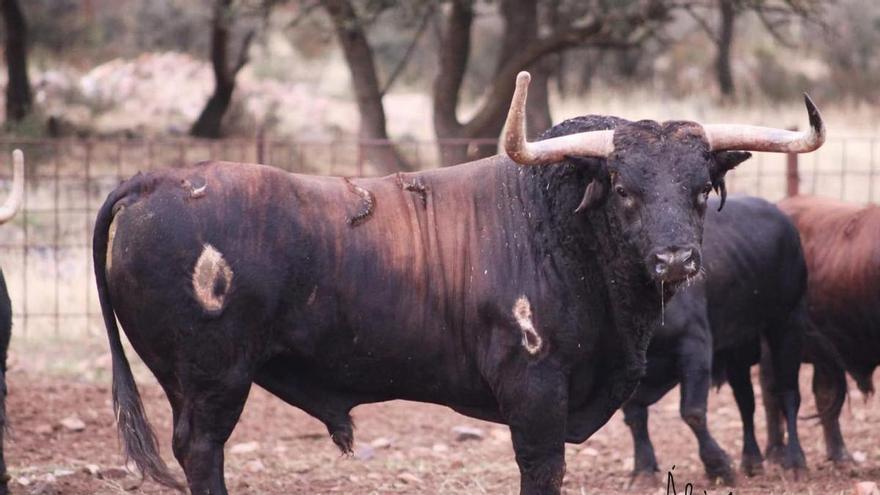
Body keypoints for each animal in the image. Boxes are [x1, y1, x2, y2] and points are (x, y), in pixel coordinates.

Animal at [93, 119, 820, 492]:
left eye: (700, 188)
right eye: (623, 187)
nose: (676, 261)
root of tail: (154, 180)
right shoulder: (534, 389)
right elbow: (542, 467)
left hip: (188, 381)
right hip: (215, 376)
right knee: (202, 450)